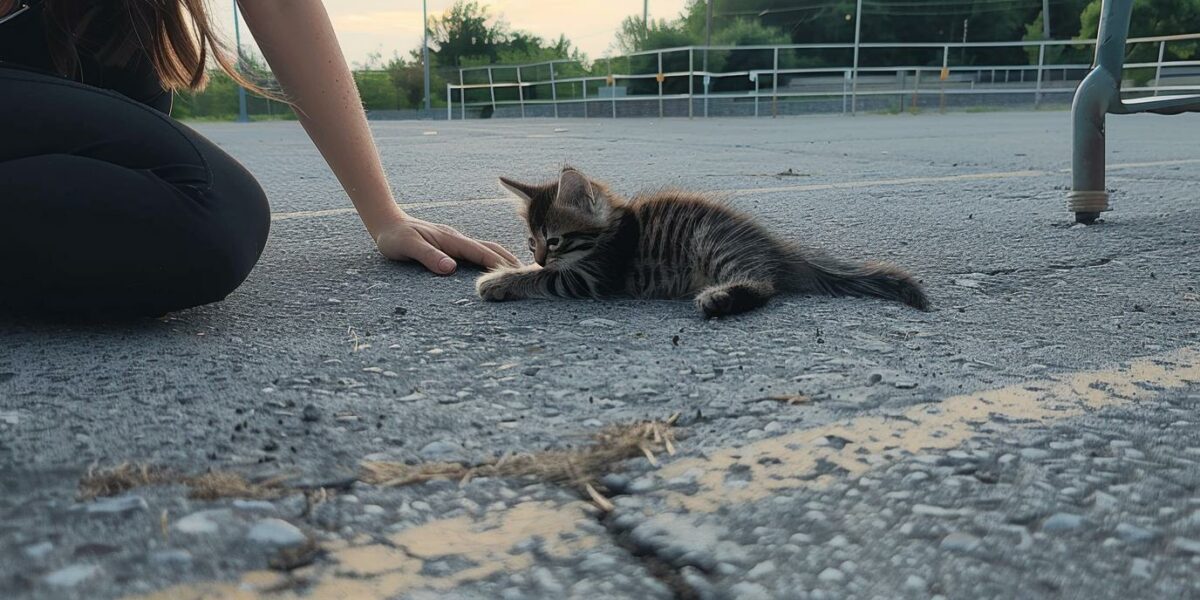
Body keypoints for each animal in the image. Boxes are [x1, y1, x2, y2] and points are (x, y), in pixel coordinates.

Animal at [475, 166, 926, 316]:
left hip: (713, 243)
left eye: (554, 241)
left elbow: (545, 280)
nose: (539, 259)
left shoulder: (591, 277)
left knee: (764, 286)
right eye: (531, 242)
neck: (613, 229)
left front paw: (498, 281)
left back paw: (719, 299)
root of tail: (772, 246)